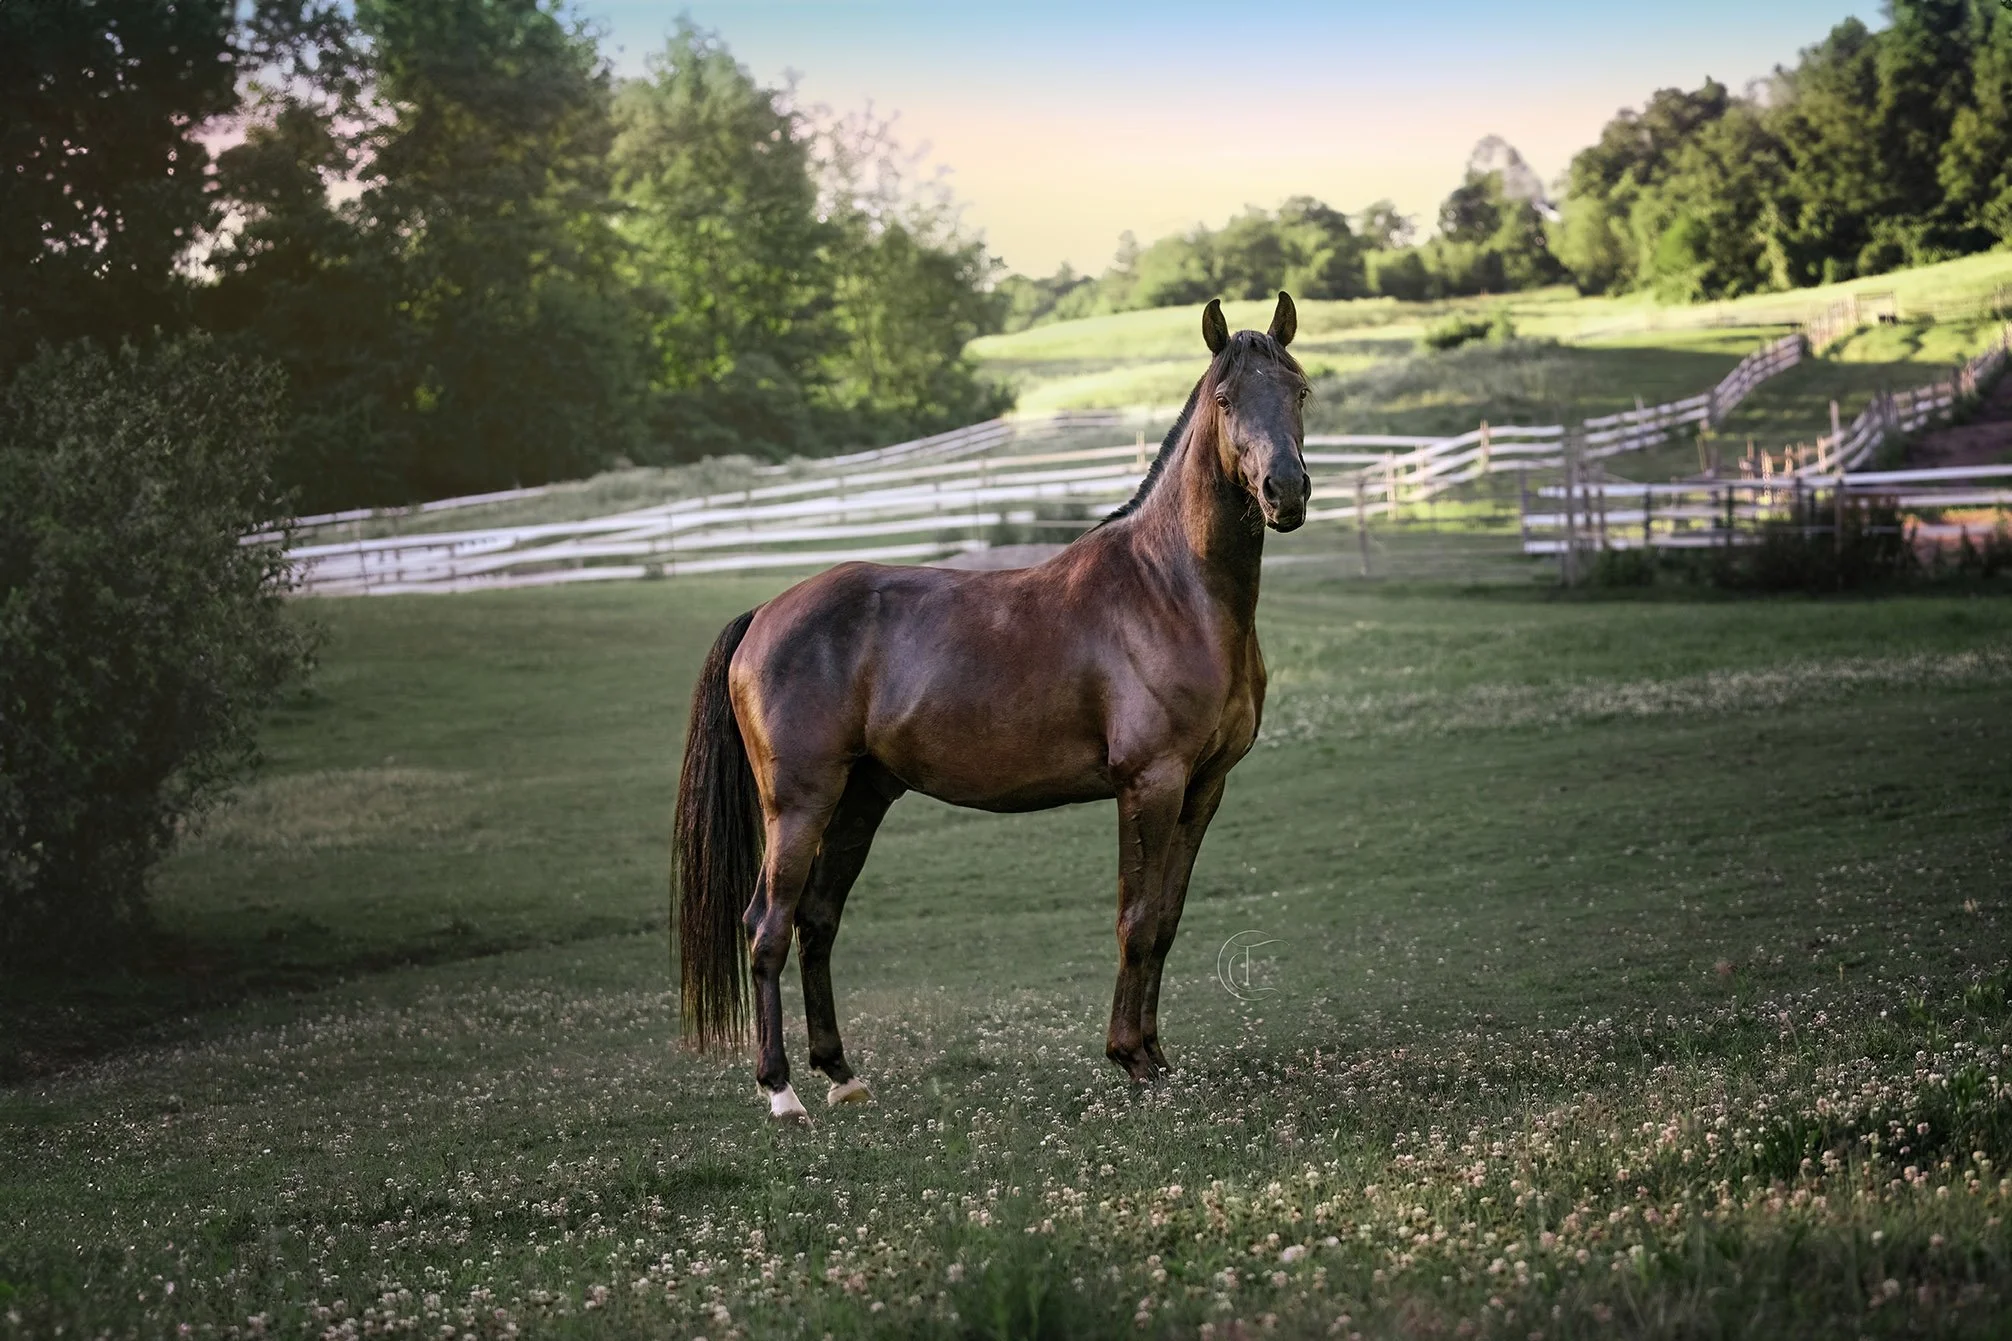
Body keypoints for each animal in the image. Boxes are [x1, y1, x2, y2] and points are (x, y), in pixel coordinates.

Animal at [674, 292, 1311, 1120]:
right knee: (768, 926)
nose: (1286, 492)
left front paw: (1159, 1057)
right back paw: (782, 1092)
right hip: (801, 801)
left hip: (860, 796)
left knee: (817, 920)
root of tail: (764, 614)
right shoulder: (1150, 783)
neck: (1172, 588)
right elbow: (1135, 919)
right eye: (1227, 399)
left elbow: (1166, 920)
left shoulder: (1205, 786)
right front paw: (1131, 1058)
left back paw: (842, 1073)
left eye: (1300, 390)